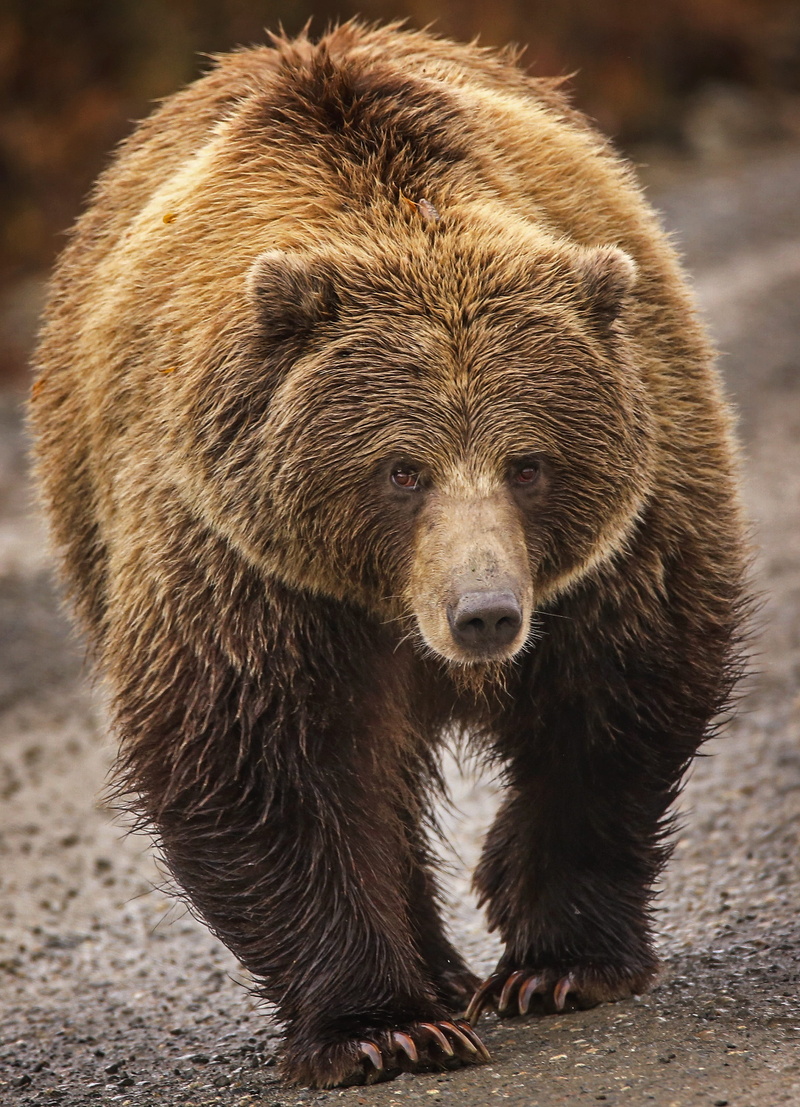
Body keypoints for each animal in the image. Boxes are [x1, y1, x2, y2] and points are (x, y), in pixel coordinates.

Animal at [29, 21, 749, 1089]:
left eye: (528, 462)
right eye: (402, 469)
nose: (484, 612)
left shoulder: (631, 523)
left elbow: (618, 696)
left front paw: (557, 961)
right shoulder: (239, 558)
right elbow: (258, 757)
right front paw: (384, 1024)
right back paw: (435, 974)